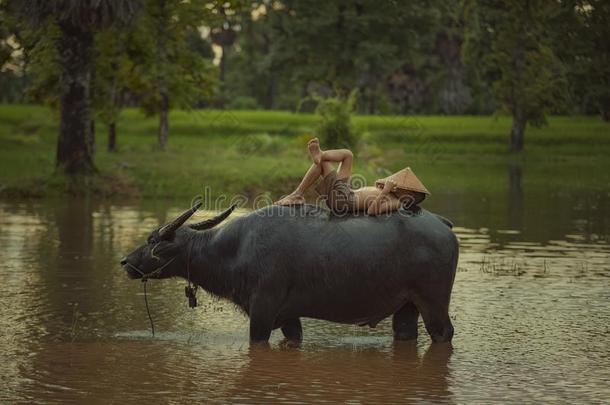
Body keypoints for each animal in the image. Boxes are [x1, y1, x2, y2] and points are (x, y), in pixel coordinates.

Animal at [121, 204, 456, 342]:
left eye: (152, 240)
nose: (124, 262)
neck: (235, 249)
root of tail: (442, 224)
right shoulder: (288, 318)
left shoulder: (262, 312)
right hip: (407, 307)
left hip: (434, 304)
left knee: (444, 333)